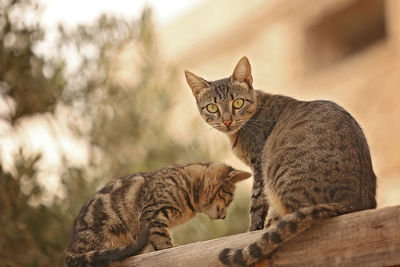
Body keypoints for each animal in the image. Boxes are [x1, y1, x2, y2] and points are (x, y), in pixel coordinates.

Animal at [64, 162, 252, 266]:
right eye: (229, 199)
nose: (224, 216)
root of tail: (70, 248)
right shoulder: (153, 213)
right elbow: (163, 241)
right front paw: (170, 249)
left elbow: (158, 240)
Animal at [184, 57, 376, 266]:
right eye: (212, 107)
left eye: (238, 103)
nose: (227, 121)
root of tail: (353, 200)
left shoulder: (259, 166)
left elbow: (256, 204)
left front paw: (253, 229)